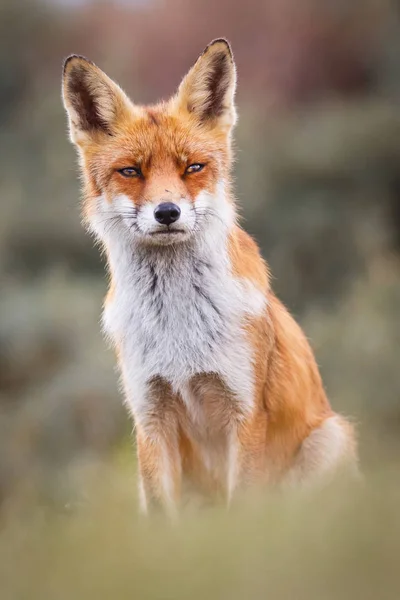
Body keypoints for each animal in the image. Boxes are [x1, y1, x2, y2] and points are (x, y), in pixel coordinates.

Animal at [61, 38, 356, 516]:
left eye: (192, 167)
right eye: (132, 171)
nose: (167, 212)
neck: (178, 329)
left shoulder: (244, 409)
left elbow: (241, 510)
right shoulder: (150, 414)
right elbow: (162, 516)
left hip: (331, 439)